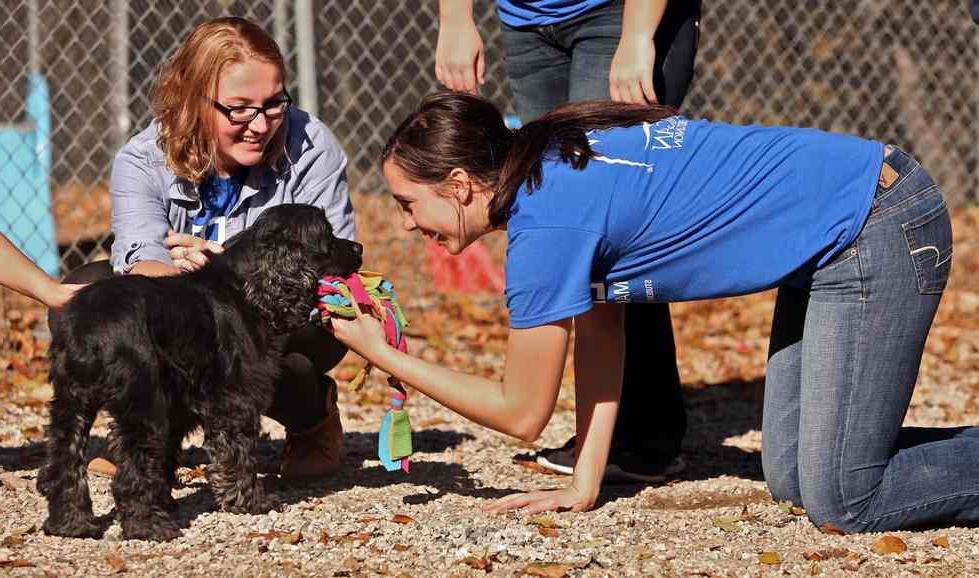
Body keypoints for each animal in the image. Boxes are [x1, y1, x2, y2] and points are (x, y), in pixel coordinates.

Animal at [38, 204, 362, 540]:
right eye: (327, 235)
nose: (359, 248)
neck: (248, 287)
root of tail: (89, 326)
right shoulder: (235, 399)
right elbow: (238, 452)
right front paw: (249, 501)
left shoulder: (178, 405)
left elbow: (167, 458)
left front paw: (167, 501)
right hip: (141, 404)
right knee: (130, 470)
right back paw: (148, 526)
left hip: (72, 404)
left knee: (64, 461)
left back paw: (71, 523)